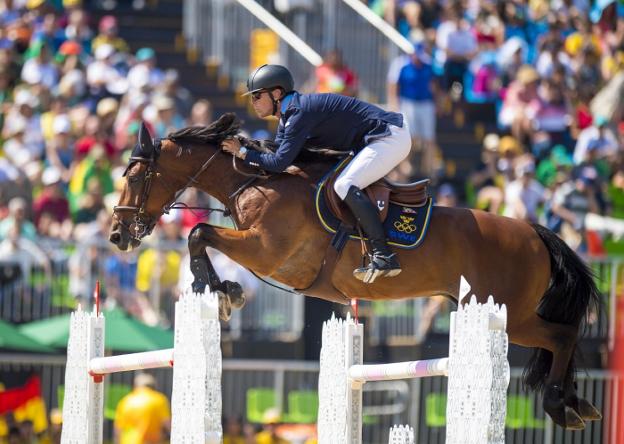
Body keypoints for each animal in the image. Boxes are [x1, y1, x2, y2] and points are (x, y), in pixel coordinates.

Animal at [109, 113, 604, 430]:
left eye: (132, 177)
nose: (117, 235)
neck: (254, 183)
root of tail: (534, 231)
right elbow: (201, 235)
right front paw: (221, 289)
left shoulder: (266, 251)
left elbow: (199, 233)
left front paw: (220, 290)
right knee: (561, 336)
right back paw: (575, 404)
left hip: (507, 314)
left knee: (562, 335)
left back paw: (562, 405)